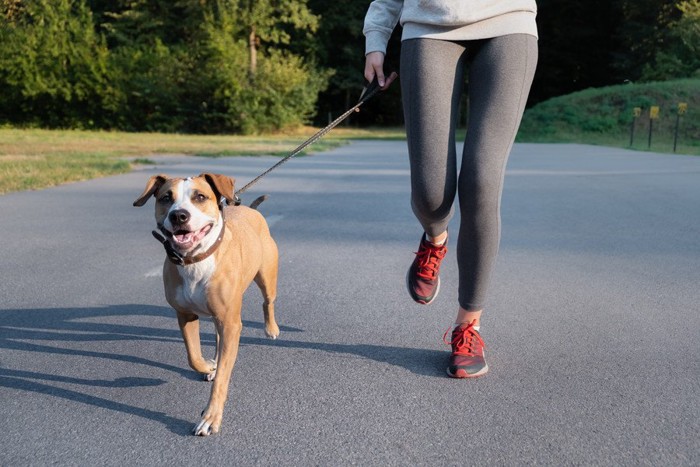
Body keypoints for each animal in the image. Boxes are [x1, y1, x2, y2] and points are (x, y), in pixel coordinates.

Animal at [134, 174, 278, 436]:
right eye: (166, 198)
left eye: (200, 196)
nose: (179, 215)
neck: (194, 260)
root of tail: (251, 211)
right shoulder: (185, 315)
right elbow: (193, 356)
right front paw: (209, 367)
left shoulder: (231, 323)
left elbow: (223, 376)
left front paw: (211, 417)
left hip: (266, 276)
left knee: (268, 301)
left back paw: (271, 329)